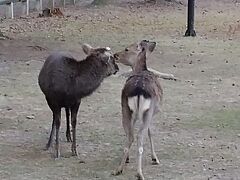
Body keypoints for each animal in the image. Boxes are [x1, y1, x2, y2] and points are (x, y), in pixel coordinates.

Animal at [113, 45, 163, 180]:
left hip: (125, 108)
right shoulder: (151, 113)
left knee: (130, 135)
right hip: (147, 112)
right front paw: (155, 158)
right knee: (140, 136)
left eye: (126, 49)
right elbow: (151, 133)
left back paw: (118, 169)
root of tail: (139, 89)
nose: (115, 55)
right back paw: (139, 173)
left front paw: (127, 159)